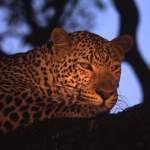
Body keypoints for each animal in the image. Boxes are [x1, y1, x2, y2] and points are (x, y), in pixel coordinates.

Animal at [0, 27, 133, 132]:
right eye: (85, 66)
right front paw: (90, 109)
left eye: (114, 68)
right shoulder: (8, 95)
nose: (106, 94)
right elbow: (50, 102)